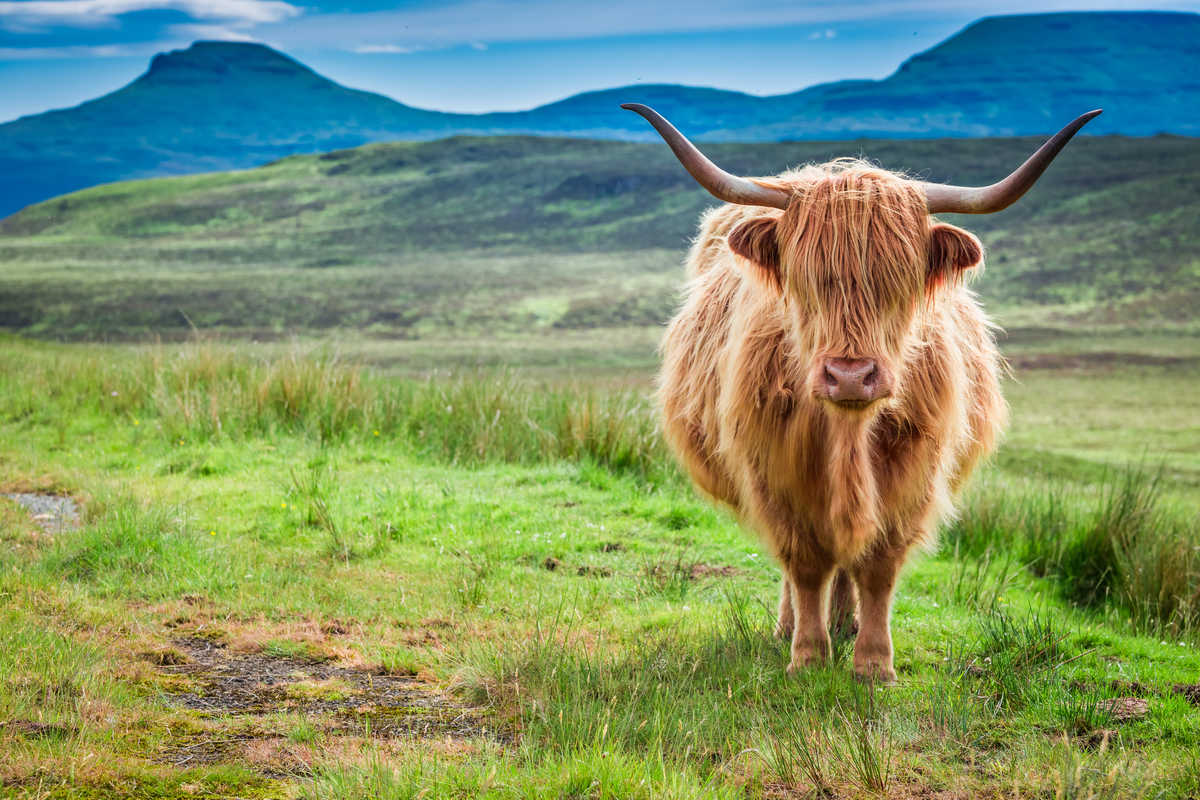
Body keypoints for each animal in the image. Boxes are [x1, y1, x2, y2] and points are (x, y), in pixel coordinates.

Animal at [624, 103, 1099, 686]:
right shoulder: (773, 472)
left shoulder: (912, 475)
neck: (846, 434)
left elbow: (877, 566)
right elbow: (804, 564)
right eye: (805, 281)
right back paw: (793, 626)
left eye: (900, 282)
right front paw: (807, 656)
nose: (850, 376)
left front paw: (874, 663)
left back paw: (845, 622)